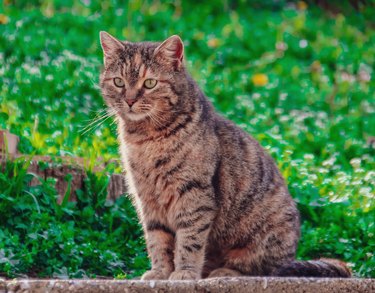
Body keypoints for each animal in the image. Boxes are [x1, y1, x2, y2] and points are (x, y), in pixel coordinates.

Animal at [98, 31, 352, 278]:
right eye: (118, 82)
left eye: (150, 83)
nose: (130, 100)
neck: (145, 138)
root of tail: (291, 255)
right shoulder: (147, 199)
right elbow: (157, 241)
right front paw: (160, 272)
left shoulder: (194, 195)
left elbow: (189, 241)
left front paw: (184, 273)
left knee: (262, 269)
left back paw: (224, 272)